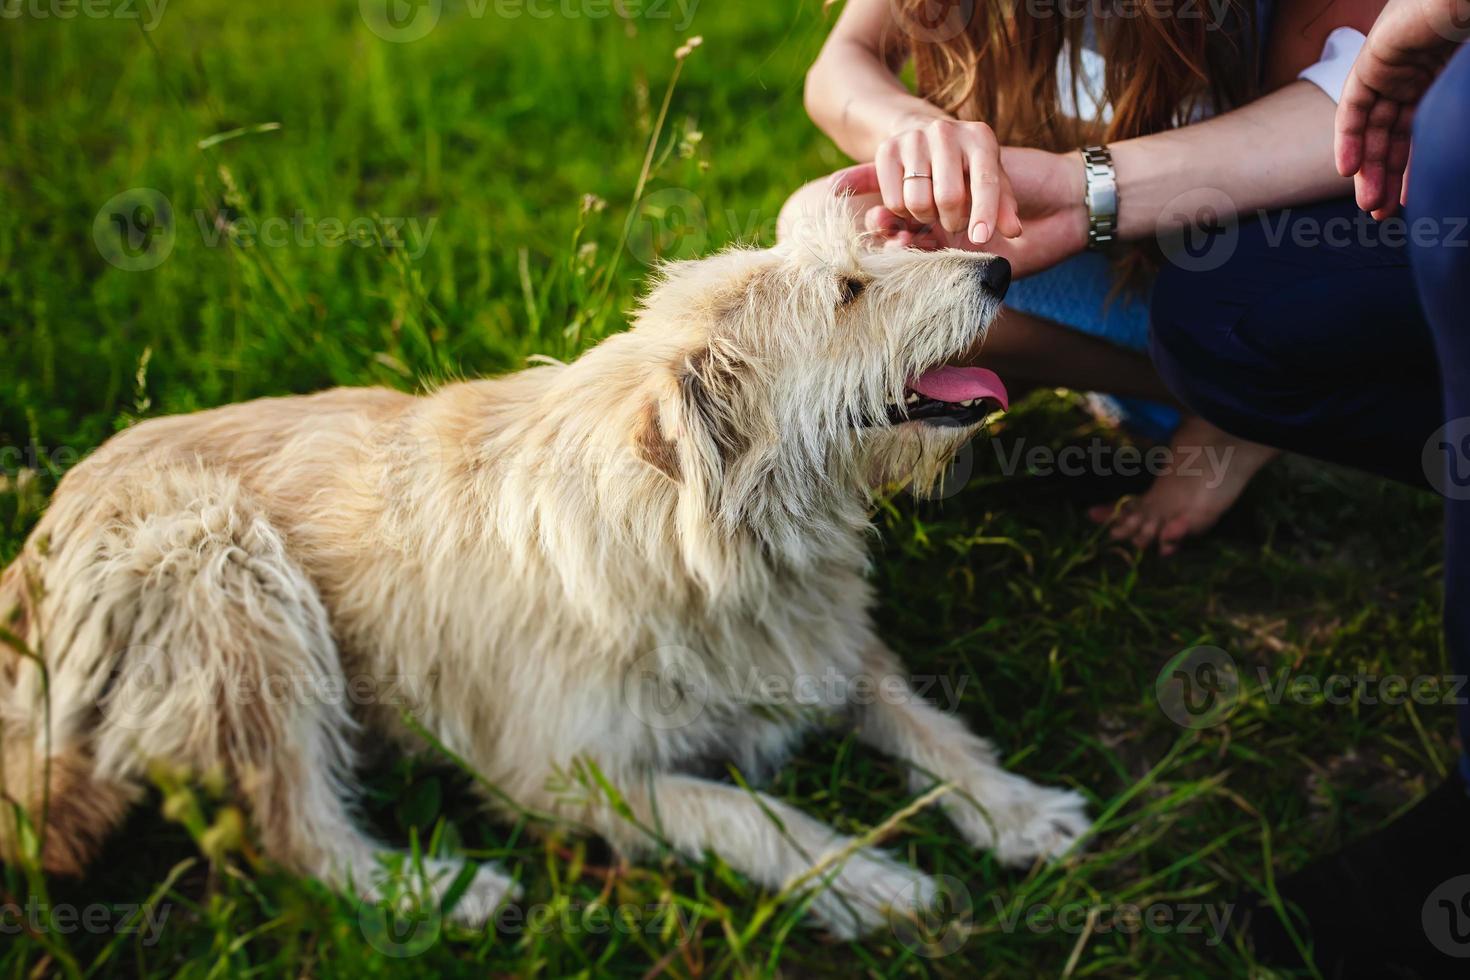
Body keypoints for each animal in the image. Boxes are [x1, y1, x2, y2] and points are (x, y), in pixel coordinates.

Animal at [0, 205, 1081, 934]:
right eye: (849, 292)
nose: (998, 265)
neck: (713, 538)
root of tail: (36, 552)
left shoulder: (827, 648)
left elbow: (930, 727)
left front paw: (1019, 810)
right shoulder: (563, 772)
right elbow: (750, 810)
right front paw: (864, 877)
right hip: (231, 572)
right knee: (295, 829)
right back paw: (436, 888)